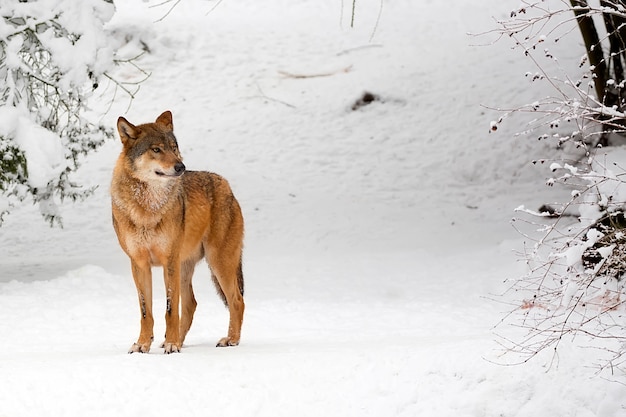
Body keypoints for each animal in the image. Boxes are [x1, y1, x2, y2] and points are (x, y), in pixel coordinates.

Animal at [111, 109, 243, 352]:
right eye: (156, 149)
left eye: (173, 147)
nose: (180, 167)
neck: (148, 208)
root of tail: (227, 186)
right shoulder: (139, 264)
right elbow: (147, 312)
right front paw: (143, 344)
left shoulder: (169, 261)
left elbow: (170, 310)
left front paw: (171, 345)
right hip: (187, 267)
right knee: (191, 304)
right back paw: (176, 342)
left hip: (218, 263)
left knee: (236, 300)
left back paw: (230, 339)